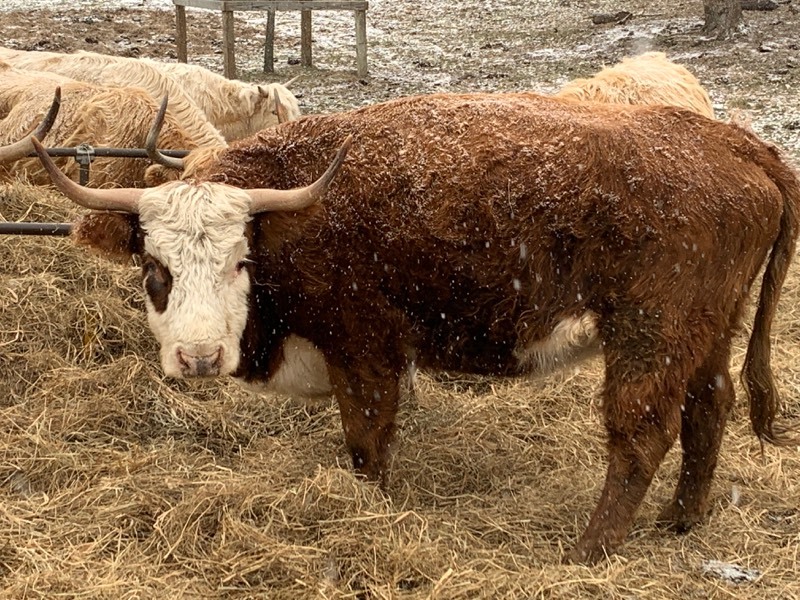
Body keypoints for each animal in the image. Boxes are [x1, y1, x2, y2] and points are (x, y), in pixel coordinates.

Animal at [28, 92, 796, 564]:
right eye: (154, 265)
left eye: (240, 259)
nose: (198, 356)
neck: (298, 213)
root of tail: (734, 143)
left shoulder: (364, 351)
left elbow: (368, 444)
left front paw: (366, 513)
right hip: (706, 331)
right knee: (711, 406)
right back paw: (683, 518)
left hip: (650, 335)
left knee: (642, 433)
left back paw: (588, 550)